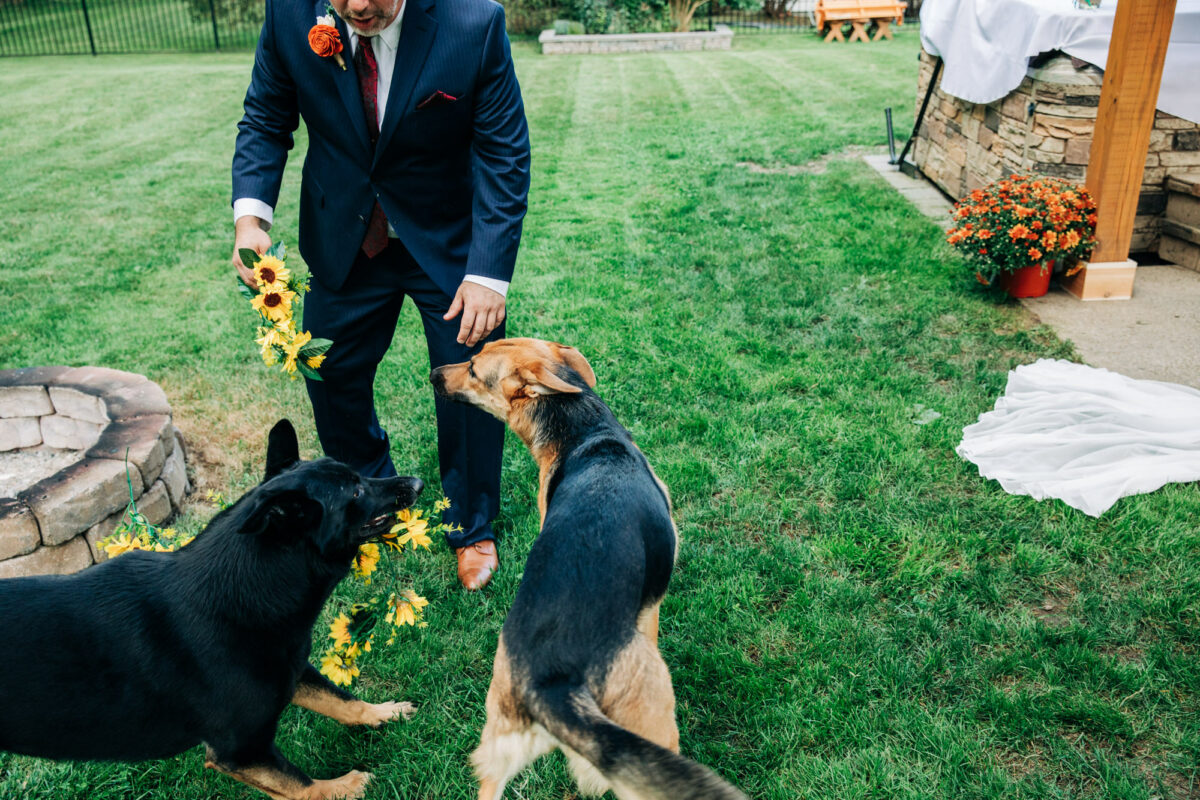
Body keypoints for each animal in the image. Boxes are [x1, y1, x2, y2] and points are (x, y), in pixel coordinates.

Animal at [0, 422, 422, 796]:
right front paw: (344, 788)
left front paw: (381, 713)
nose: (418, 483)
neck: (250, 586)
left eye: (357, 475)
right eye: (356, 490)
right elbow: (301, 786)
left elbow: (340, 700)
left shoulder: (292, 671)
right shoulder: (240, 751)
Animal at [432, 340, 744, 800]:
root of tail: (554, 680)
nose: (433, 373)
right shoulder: (650, 609)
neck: (586, 433)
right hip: (648, 738)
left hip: (497, 746)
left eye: (472, 367)